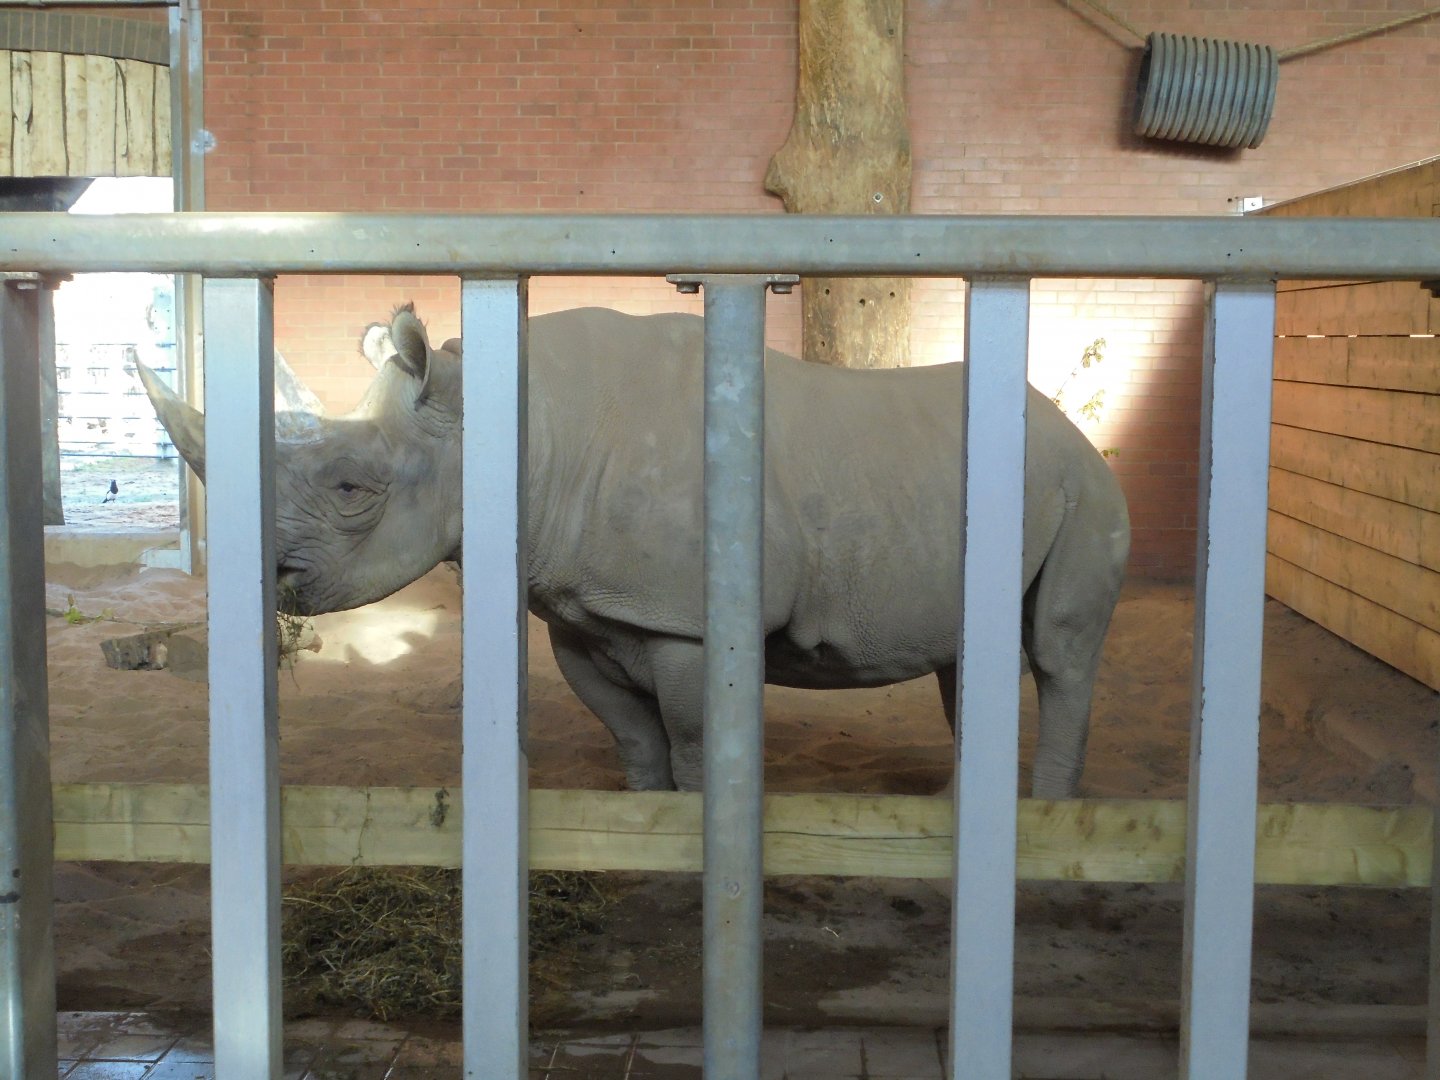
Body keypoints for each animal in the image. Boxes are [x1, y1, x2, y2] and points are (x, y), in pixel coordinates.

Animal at [140, 304, 1129, 797]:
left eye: (351, 490)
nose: (266, 577)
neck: (524, 426)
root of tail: (1068, 428)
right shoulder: (584, 613)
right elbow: (634, 745)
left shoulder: (685, 619)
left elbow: (693, 751)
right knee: (972, 658)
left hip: (1087, 488)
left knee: (1061, 656)